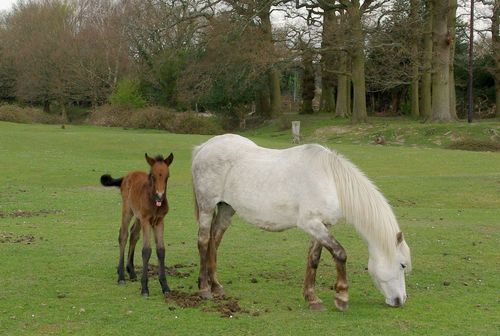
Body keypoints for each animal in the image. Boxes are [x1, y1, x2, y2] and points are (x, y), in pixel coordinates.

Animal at [99, 152, 174, 296]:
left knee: (133, 235)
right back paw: (121, 277)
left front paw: (165, 287)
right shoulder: (146, 220)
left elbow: (161, 250)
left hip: (138, 217)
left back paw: (131, 271)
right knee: (123, 235)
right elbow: (146, 250)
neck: (153, 201)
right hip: (128, 210)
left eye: (167, 176)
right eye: (152, 176)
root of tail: (126, 176)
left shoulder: (159, 221)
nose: (160, 196)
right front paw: (144, 288)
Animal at [191, 133, 410, 310]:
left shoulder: (321, 225)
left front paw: (312, 298)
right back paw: (204, 289)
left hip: (226, 208)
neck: (330, 180)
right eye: (402, 265)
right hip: (207, 207)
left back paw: (216, 286)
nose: (400, 300)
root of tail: (204, 147)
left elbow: (314, 258)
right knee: (203, 241)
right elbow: (340, 253)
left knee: (214, 241)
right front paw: (341, 297)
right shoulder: (311, 224)